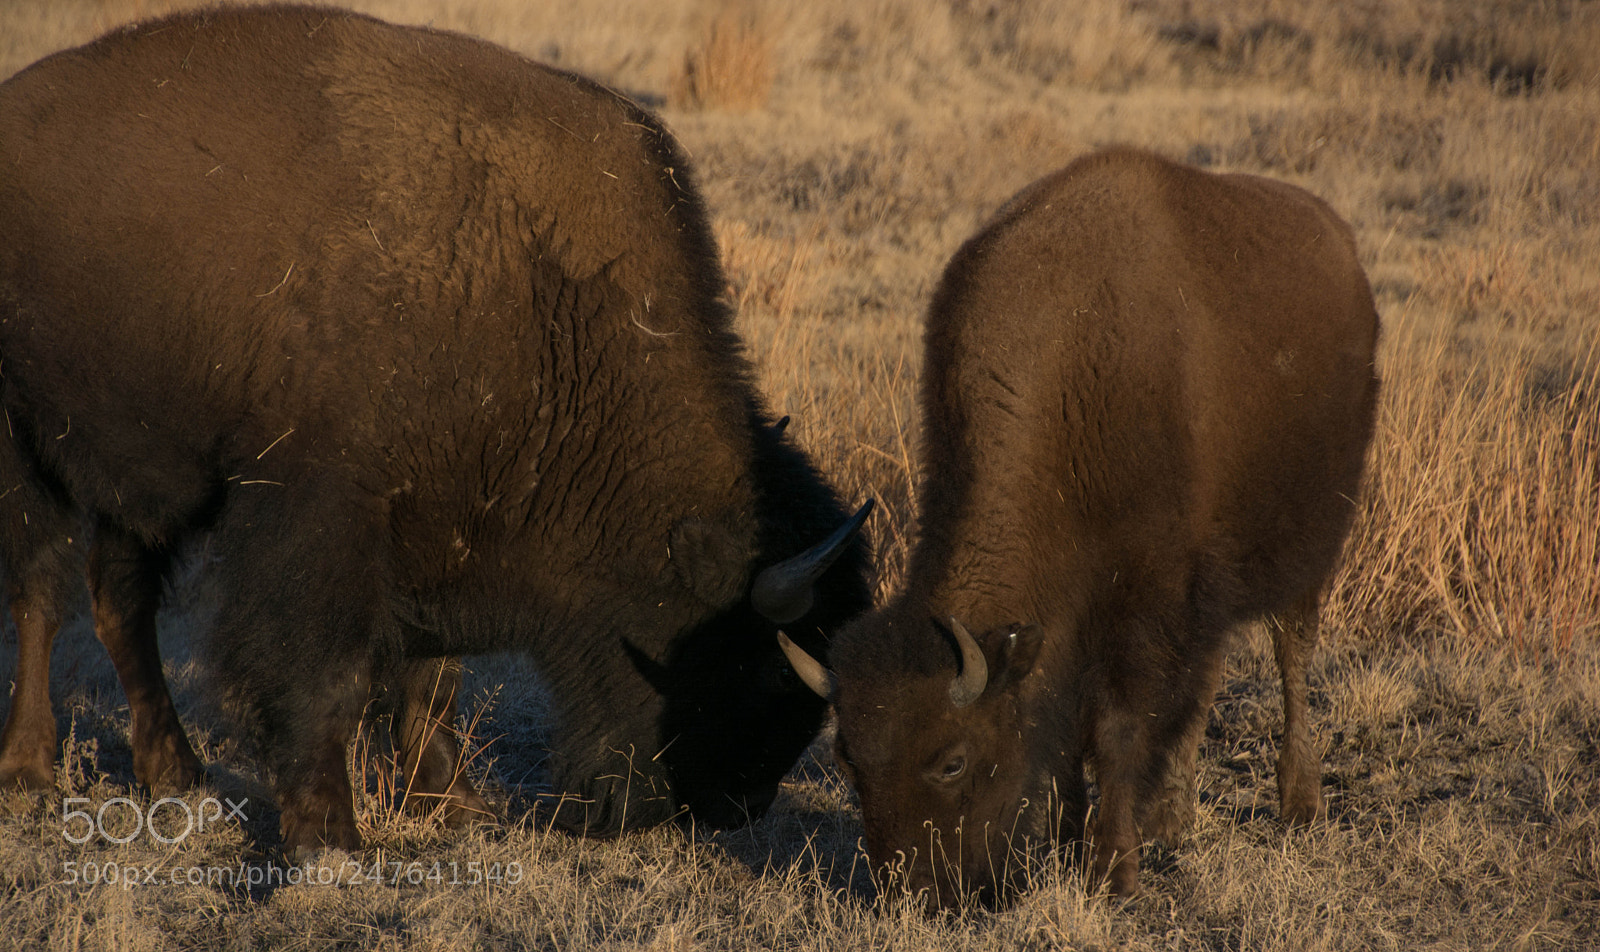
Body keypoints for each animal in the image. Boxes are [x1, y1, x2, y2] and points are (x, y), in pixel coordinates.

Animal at [0, 5, 871, 857]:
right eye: (762, 665)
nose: (736, 807)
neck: (539, 294)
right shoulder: (323, 519)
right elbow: (329, 675)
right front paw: (329, 836)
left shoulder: (445, 520)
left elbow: (434, 676)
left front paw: (453, 805)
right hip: (25, 449)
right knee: (41, 595)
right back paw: (32, 772)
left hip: (137, 473)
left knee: (119, 601)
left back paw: (176, 774)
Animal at [782, 148, 1378, 905]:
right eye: (846, 756)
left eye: (952, 761)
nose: (910, 894)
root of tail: (1342, 249)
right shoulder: (1082, 624)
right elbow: (1069, 734)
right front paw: (1066, 846)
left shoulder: (1142, 609)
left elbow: (1117, 728)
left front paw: (1113, 870)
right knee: (1209, 676)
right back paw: (1173, 819)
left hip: (1312, 542)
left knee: (1290, 649)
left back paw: (1299, 803)